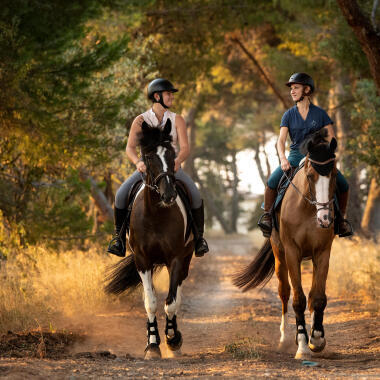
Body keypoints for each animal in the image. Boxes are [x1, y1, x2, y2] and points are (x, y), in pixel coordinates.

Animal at [104, 119, 193, 360]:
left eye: (172, 155)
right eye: (149, 157)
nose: (169, 195)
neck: (156, 214)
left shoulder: (176, 259)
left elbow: (171, 302)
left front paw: (172, 339)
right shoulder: (142, 261)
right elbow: (151, 303)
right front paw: (152, 345)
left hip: (186, 259)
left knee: (178, 294)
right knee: (150, 297)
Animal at [235, 129, 338, 358]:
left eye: (334, 175)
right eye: (310, 175)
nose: (325, 219)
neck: (308, 209)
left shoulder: (323, 253)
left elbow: (318, 297)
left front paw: (317, 339)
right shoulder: (292, 253)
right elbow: (298, 299)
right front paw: (302, 345)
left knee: (312, 295)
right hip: (280, 256)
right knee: (284, 293)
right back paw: (284, 339)